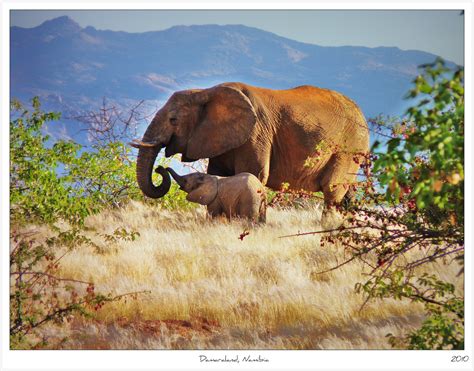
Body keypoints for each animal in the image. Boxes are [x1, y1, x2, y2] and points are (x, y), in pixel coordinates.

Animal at [131, 82, 370, 224]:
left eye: (173, 120)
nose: (160, 168)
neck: (206, 91)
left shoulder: (256, 133)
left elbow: (253, 173)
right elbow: (218, 176)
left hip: (349, 146)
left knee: (332, 189)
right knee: (347, 193)